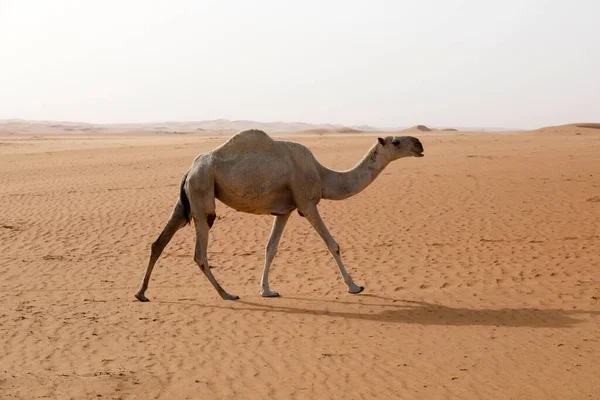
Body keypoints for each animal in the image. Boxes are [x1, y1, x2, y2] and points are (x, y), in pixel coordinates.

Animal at [135, 130, 426, 302]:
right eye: (396, 141)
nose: (419, 143)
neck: (323, 175)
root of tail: (190, 168)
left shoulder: (284, 210)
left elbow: (270, 248)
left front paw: (266, 289)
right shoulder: (307, 202)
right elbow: (332, 244)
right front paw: (354, 286)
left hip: (187, 197)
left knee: (159, 242)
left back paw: (141, 293)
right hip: (202, 191)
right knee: (200, 252)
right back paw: (226, 294)